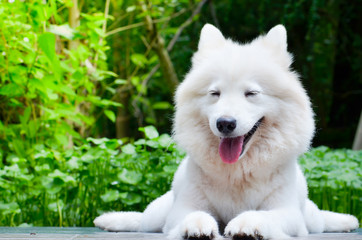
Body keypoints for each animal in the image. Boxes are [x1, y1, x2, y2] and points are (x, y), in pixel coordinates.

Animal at [94, 24, 360, 240]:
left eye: (251, 93)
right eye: (215, 93)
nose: (225, 123)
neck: (237, 172)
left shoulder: (286, 211)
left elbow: (262, 215)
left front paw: (246, 225)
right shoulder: (183, 208)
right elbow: (195, 214)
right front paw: (197, 226)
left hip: (310, 217)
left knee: (321, 220)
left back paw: (346, 221)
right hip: (157, 214)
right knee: (142, 220)